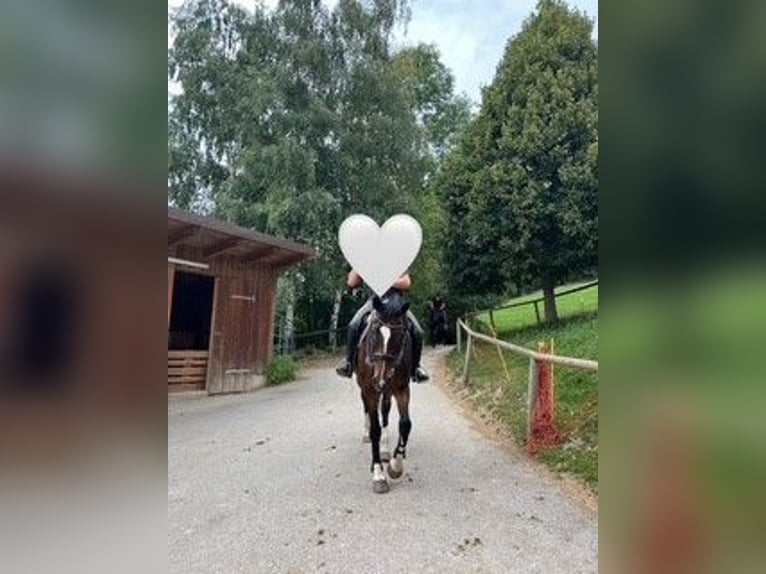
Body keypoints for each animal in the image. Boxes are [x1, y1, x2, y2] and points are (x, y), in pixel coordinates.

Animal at [355, 290, 413, 494]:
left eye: (400, 335)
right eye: (374, 333)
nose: (381, 379)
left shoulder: (401, 388)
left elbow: (405, 424)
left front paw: (395, 465)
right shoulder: (370, 390)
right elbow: (375, 430)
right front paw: (378, 474)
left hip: (387, 391)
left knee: (386, 413)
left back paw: (386, 450)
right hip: (366, 389)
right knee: (367, 410)